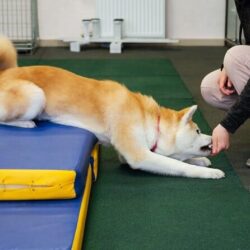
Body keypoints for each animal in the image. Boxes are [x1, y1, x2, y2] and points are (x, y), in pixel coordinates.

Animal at [0, 36, 224, 179]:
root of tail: (5, 72)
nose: (212, 138)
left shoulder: (130, 153)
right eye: (198, 130)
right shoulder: (138, 155)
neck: (152, 121)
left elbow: (177, 159)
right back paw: (26, 123)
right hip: (35, 95)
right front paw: (208, 172)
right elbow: (178, 165)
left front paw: (200, 160)